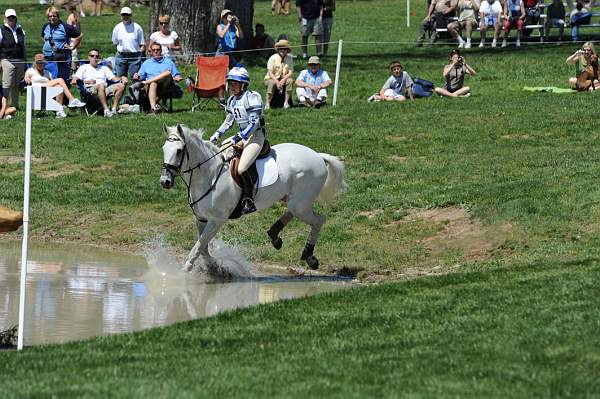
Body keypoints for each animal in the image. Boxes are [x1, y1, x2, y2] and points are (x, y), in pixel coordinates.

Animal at [159, 125, 346, 276]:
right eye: (164, 149)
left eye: (179, 151)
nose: (165, 181)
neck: (209, 174)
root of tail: (317, 155)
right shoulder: (201, 219)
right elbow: (203, 247)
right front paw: (215, 268)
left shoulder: (217, 220)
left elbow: (198, 246)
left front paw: (185, 271)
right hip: (293, 200)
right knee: (295, 213)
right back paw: (274, 235)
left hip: (300, 204)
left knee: (319, 220)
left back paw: (309, 257)